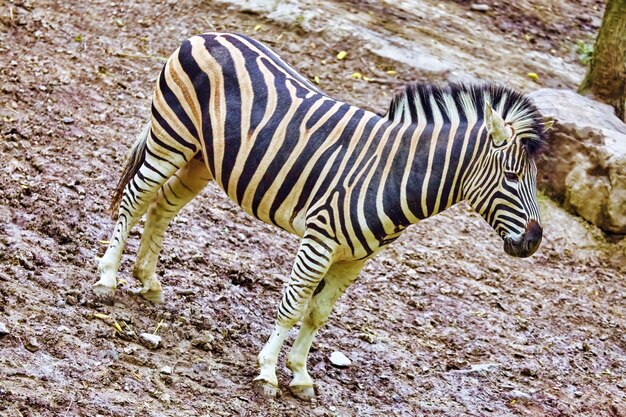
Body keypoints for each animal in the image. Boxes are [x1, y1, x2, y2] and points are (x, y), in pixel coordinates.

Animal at [91, 32, 544, 400]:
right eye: (511, 176)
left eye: (534, 181)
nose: (534, 241)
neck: (395, 175)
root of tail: (207, 34)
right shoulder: (320, 239)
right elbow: (292, 307)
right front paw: (268, 373)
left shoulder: (356, 257)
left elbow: (318, 313)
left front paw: (301, 375)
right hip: (171, 138)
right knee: (134, 199)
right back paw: (107, 279)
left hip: (202, 158)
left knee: (162, 205)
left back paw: (147, 280)